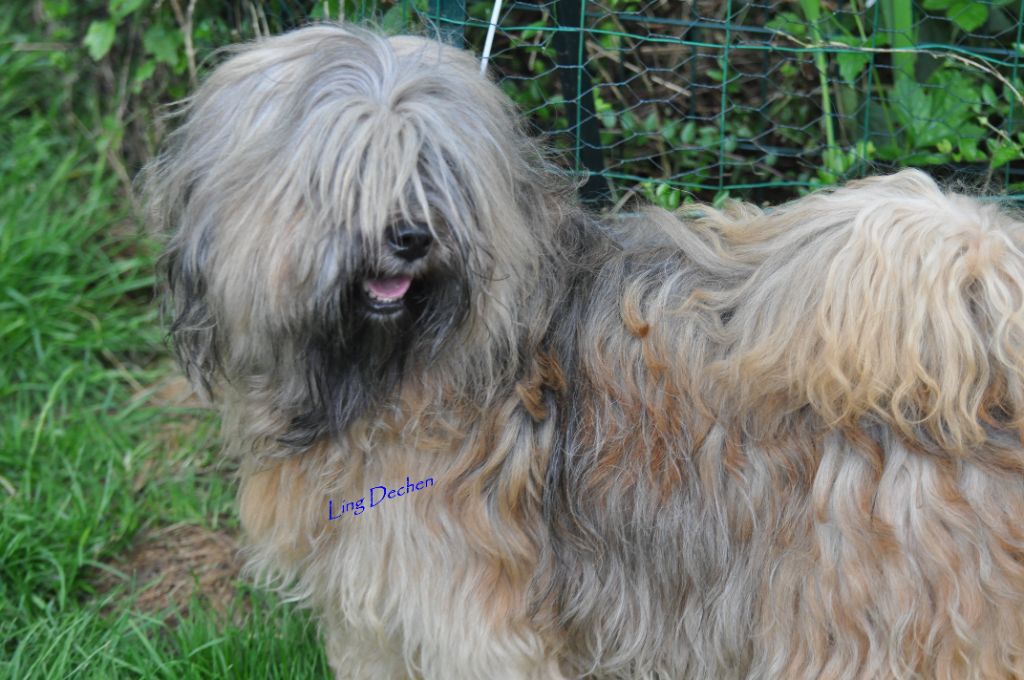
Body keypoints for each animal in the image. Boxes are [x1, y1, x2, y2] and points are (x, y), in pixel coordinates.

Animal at [144, 22, 1024, 680]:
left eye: (435, 169)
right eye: (346, 172)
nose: (410, 237)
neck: (385, 369)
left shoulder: (468, 613)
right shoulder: (376, 611)